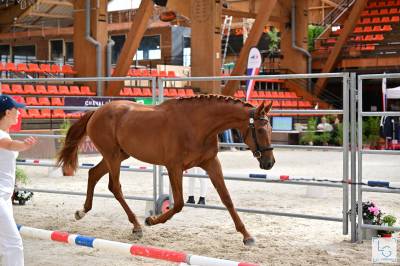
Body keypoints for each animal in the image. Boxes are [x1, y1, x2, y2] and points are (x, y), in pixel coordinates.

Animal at [57, 95, 276, 245]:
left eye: (271, 129)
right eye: (260, 130)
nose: (269, 163)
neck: (197, 125)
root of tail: (97, 112)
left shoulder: (211, 163)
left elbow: (227, 199)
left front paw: (247, 236)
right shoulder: (174, 167)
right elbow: (178, 204)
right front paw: (151, 220)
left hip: (119, 155)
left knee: (93, 174)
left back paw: (82, 212)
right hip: (112, 156)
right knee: (115, 187)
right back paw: (137, 226)